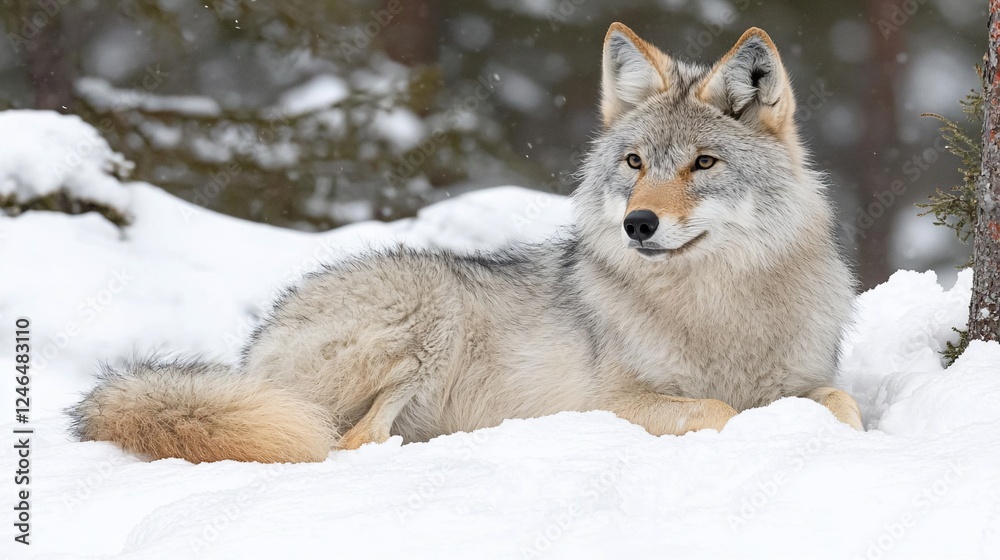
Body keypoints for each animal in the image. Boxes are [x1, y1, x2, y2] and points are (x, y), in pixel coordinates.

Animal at [70, 23, 862, 464]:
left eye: (703, 163)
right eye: (636, 163)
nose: (638, 224)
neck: (719, 308)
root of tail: (251, 351)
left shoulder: (806, 378)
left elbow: (844, 405)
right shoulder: (610, 403)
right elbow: (719, 411)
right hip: (427, 319)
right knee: (344, 443)